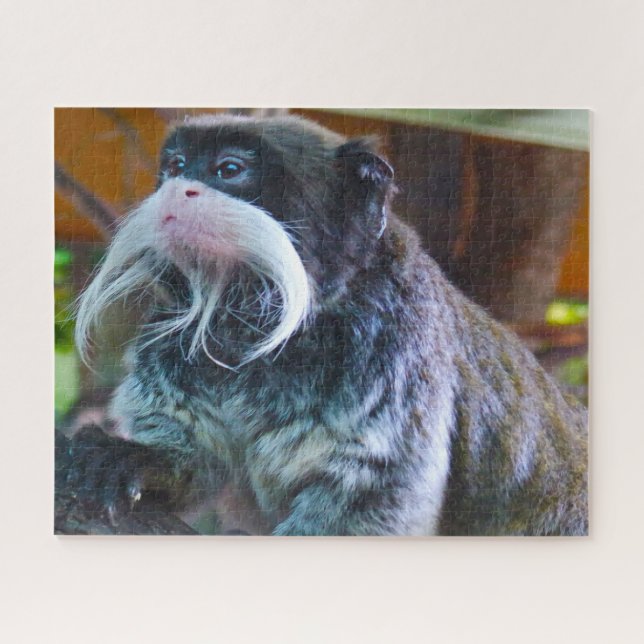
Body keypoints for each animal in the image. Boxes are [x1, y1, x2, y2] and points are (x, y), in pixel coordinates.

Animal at [60, 113, 588, 536]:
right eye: (175, 166)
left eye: (228, 170)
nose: (176, 189)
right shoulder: (173, 333)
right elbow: (195, 453)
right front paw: (134, 461)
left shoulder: (396, 348)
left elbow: (371, 493)